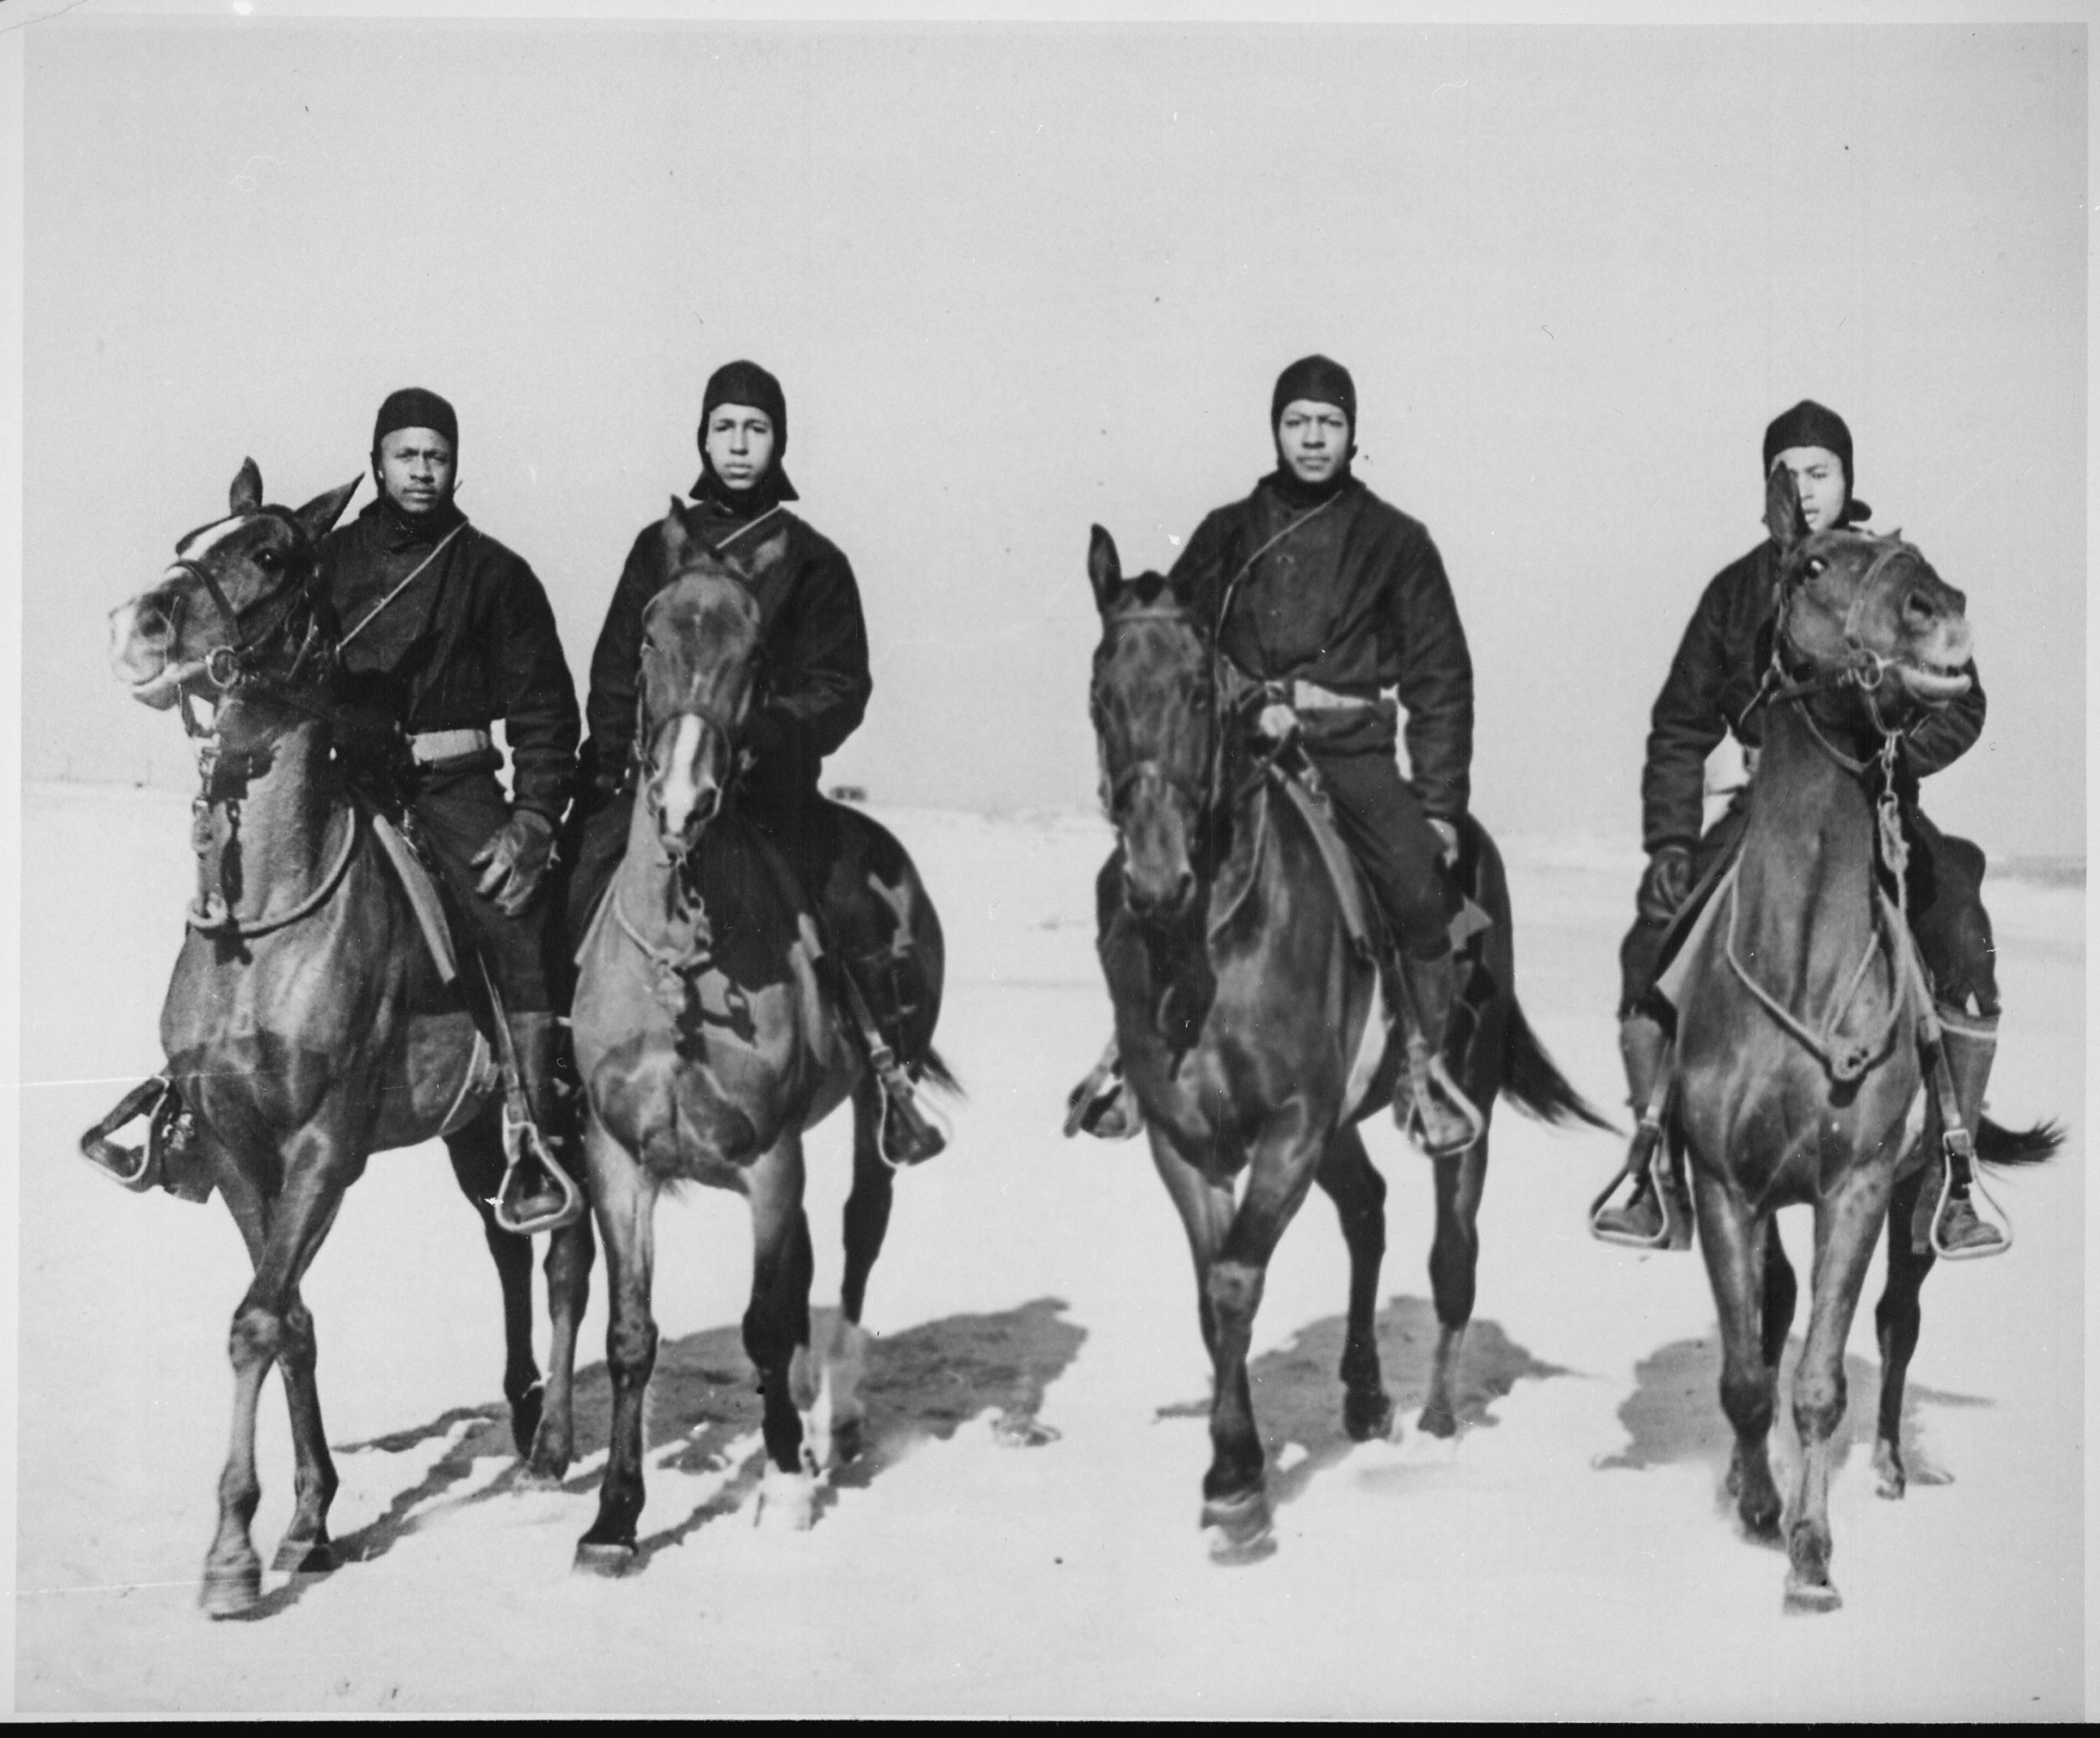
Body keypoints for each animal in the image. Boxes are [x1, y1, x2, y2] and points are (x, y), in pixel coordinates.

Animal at [103, 461, 596, 1612]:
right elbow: (290, 1317)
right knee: (508, 1244)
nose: (141, 622)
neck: (261, 927)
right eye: (189, 537)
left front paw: (232, 1553)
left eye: (271, 553)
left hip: (563, 1115)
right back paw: (520, 1408)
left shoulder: (325, 1145)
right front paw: (309, 1520)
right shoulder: (239, 1147)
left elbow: (255, 1318)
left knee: (568, 1255)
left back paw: (553, 1444)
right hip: (477, 1135)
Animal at [538, 501, 958, 1578]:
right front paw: (614, 1516)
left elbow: (768, 1322)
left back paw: (833, 1415)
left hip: (867, 1113)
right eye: (649, 635)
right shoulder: (618, 1159)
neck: (686, 959)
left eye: (757, 652)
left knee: (852, 1242)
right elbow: (631, 1334)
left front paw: (784, 1482)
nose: (685, 803)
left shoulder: (771, 1158)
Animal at [1084, 526, 1604, 1562]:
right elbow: (1212, 1290)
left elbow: (1236, 1278)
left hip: (1455, 1113)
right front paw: (1234, 1463)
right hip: (1338, 1126)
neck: (1208, 942)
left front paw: (1237, 1485)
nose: (1155, 881)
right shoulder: (1186, 1137)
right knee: (1367, 1209)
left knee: (1452, 1254)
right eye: (1099, 692)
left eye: (1199, 692)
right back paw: (1365, 1394)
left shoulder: (1291, 1121)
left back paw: (1436, 1413)